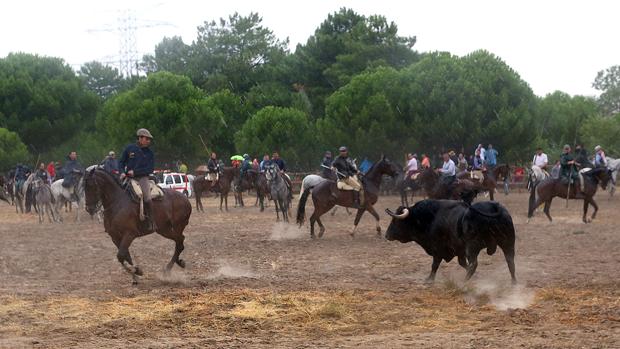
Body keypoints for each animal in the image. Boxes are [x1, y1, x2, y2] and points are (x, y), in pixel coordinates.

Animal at [386, 198, 516, 282]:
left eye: (395, 221)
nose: (387, 235)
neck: (431, 217)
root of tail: (493, 207)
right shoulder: (459, 251)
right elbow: (462, 263)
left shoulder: (438, 248)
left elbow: (435, 264)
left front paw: (429, 280)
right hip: (508, 242)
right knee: (510, 262)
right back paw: (514, 283)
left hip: (472, 247)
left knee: (474, 264)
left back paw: (464, 283)